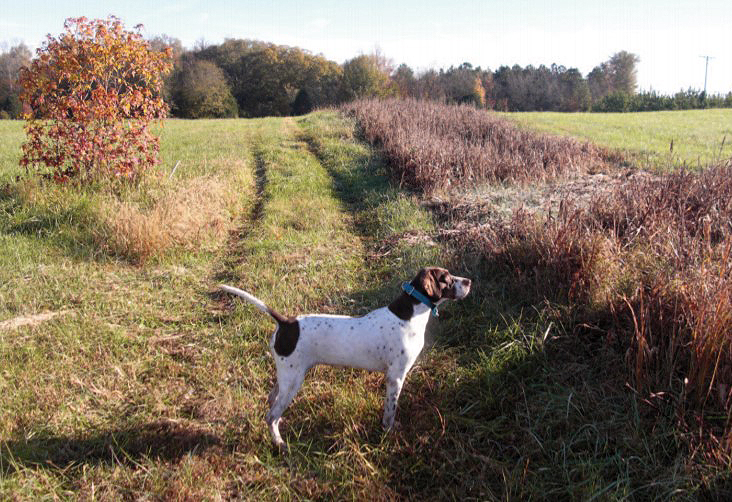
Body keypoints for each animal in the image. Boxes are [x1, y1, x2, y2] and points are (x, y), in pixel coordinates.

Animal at [219, 268, 468, 450]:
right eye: (446, 278)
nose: (468, 281)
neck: (410, 315)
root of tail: (287, 323)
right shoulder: (395, 377)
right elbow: (390, 410)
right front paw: (389, 432)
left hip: (286, 377)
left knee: (272, 401)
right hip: (293, 381)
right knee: (271, 416)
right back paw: (279, 443)